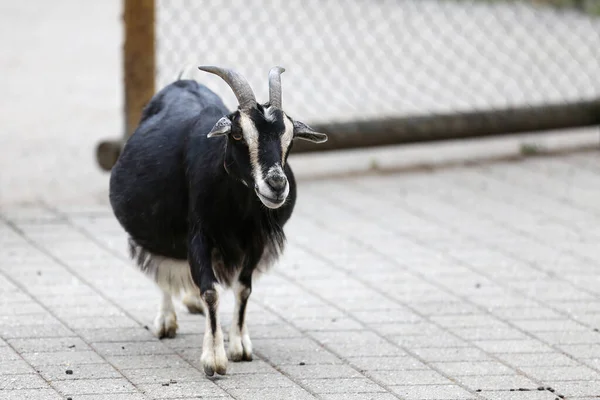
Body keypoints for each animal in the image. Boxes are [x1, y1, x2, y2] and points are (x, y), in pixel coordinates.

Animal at [110, 65, 330, 376]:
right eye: (237, 135)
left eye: (290, 137)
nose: (276, 185)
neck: (236, 209)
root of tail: (182, 82)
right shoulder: (199, 236)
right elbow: (211, 291)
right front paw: (214, 359)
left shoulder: (255, 241)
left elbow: (243, 288)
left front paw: (240, 346)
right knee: (162, 267)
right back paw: (166, 321)